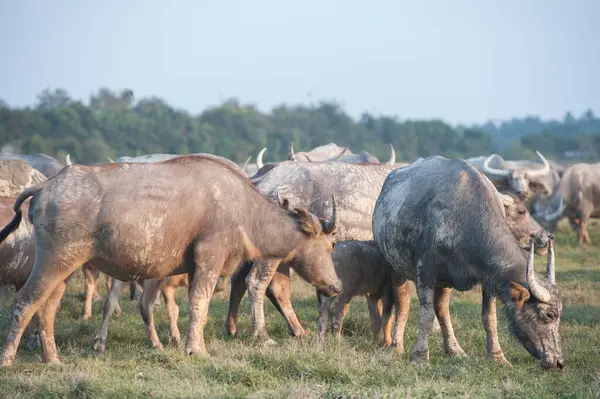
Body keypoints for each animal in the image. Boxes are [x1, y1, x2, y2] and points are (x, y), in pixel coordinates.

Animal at [372, 157, 564, 372]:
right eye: (549, 315)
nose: (559, 362)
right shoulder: (426, 272)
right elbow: (426, 316)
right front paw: (420, 357)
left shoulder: (489, 278)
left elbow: (489, 318)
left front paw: (497, 356)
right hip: (395, 266)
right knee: (403, 303)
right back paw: (396, 346)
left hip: (444, 282)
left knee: (442, 308)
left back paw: (454, 349)